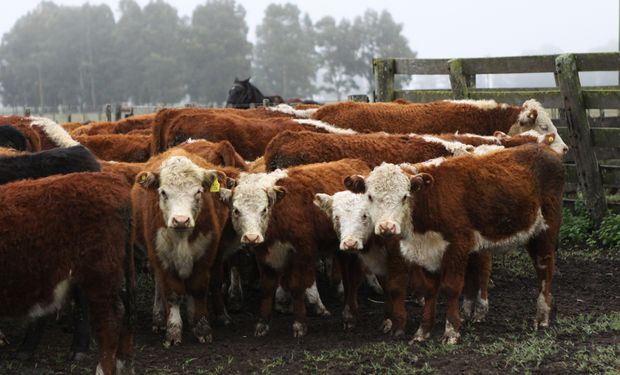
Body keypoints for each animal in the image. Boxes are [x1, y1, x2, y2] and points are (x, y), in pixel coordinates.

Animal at [131, 149, 230, 346]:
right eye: (163, 192)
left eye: (198, 192)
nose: (181, 220)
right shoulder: (161, 256)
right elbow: (172, 293)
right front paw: (173, 330)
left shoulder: (205, 254)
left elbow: (198, 290)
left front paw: (201, 327)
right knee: (159, 285)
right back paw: (159, 318)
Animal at [219, 159, 370, 338]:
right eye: (236, 210)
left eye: (264, 209)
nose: (251, 237)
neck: (278, 215)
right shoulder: (265, 256)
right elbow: (266, 289)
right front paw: (262, 324)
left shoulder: (301, 253)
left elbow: (297, 286)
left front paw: (299, 324)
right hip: (342, 249)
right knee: (347, 278)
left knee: (353, 278)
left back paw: (349, 316)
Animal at [346, 145, 564, 346]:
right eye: (370, 196)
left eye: (405, 196)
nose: (387, 227)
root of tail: (543, 149)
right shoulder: (428, 253)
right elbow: (430, 290)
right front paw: (422, 332)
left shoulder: (458, 245)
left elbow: (451, 288)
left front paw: (451, 331)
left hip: (546, 229)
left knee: (545, 268)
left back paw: (542, 316)